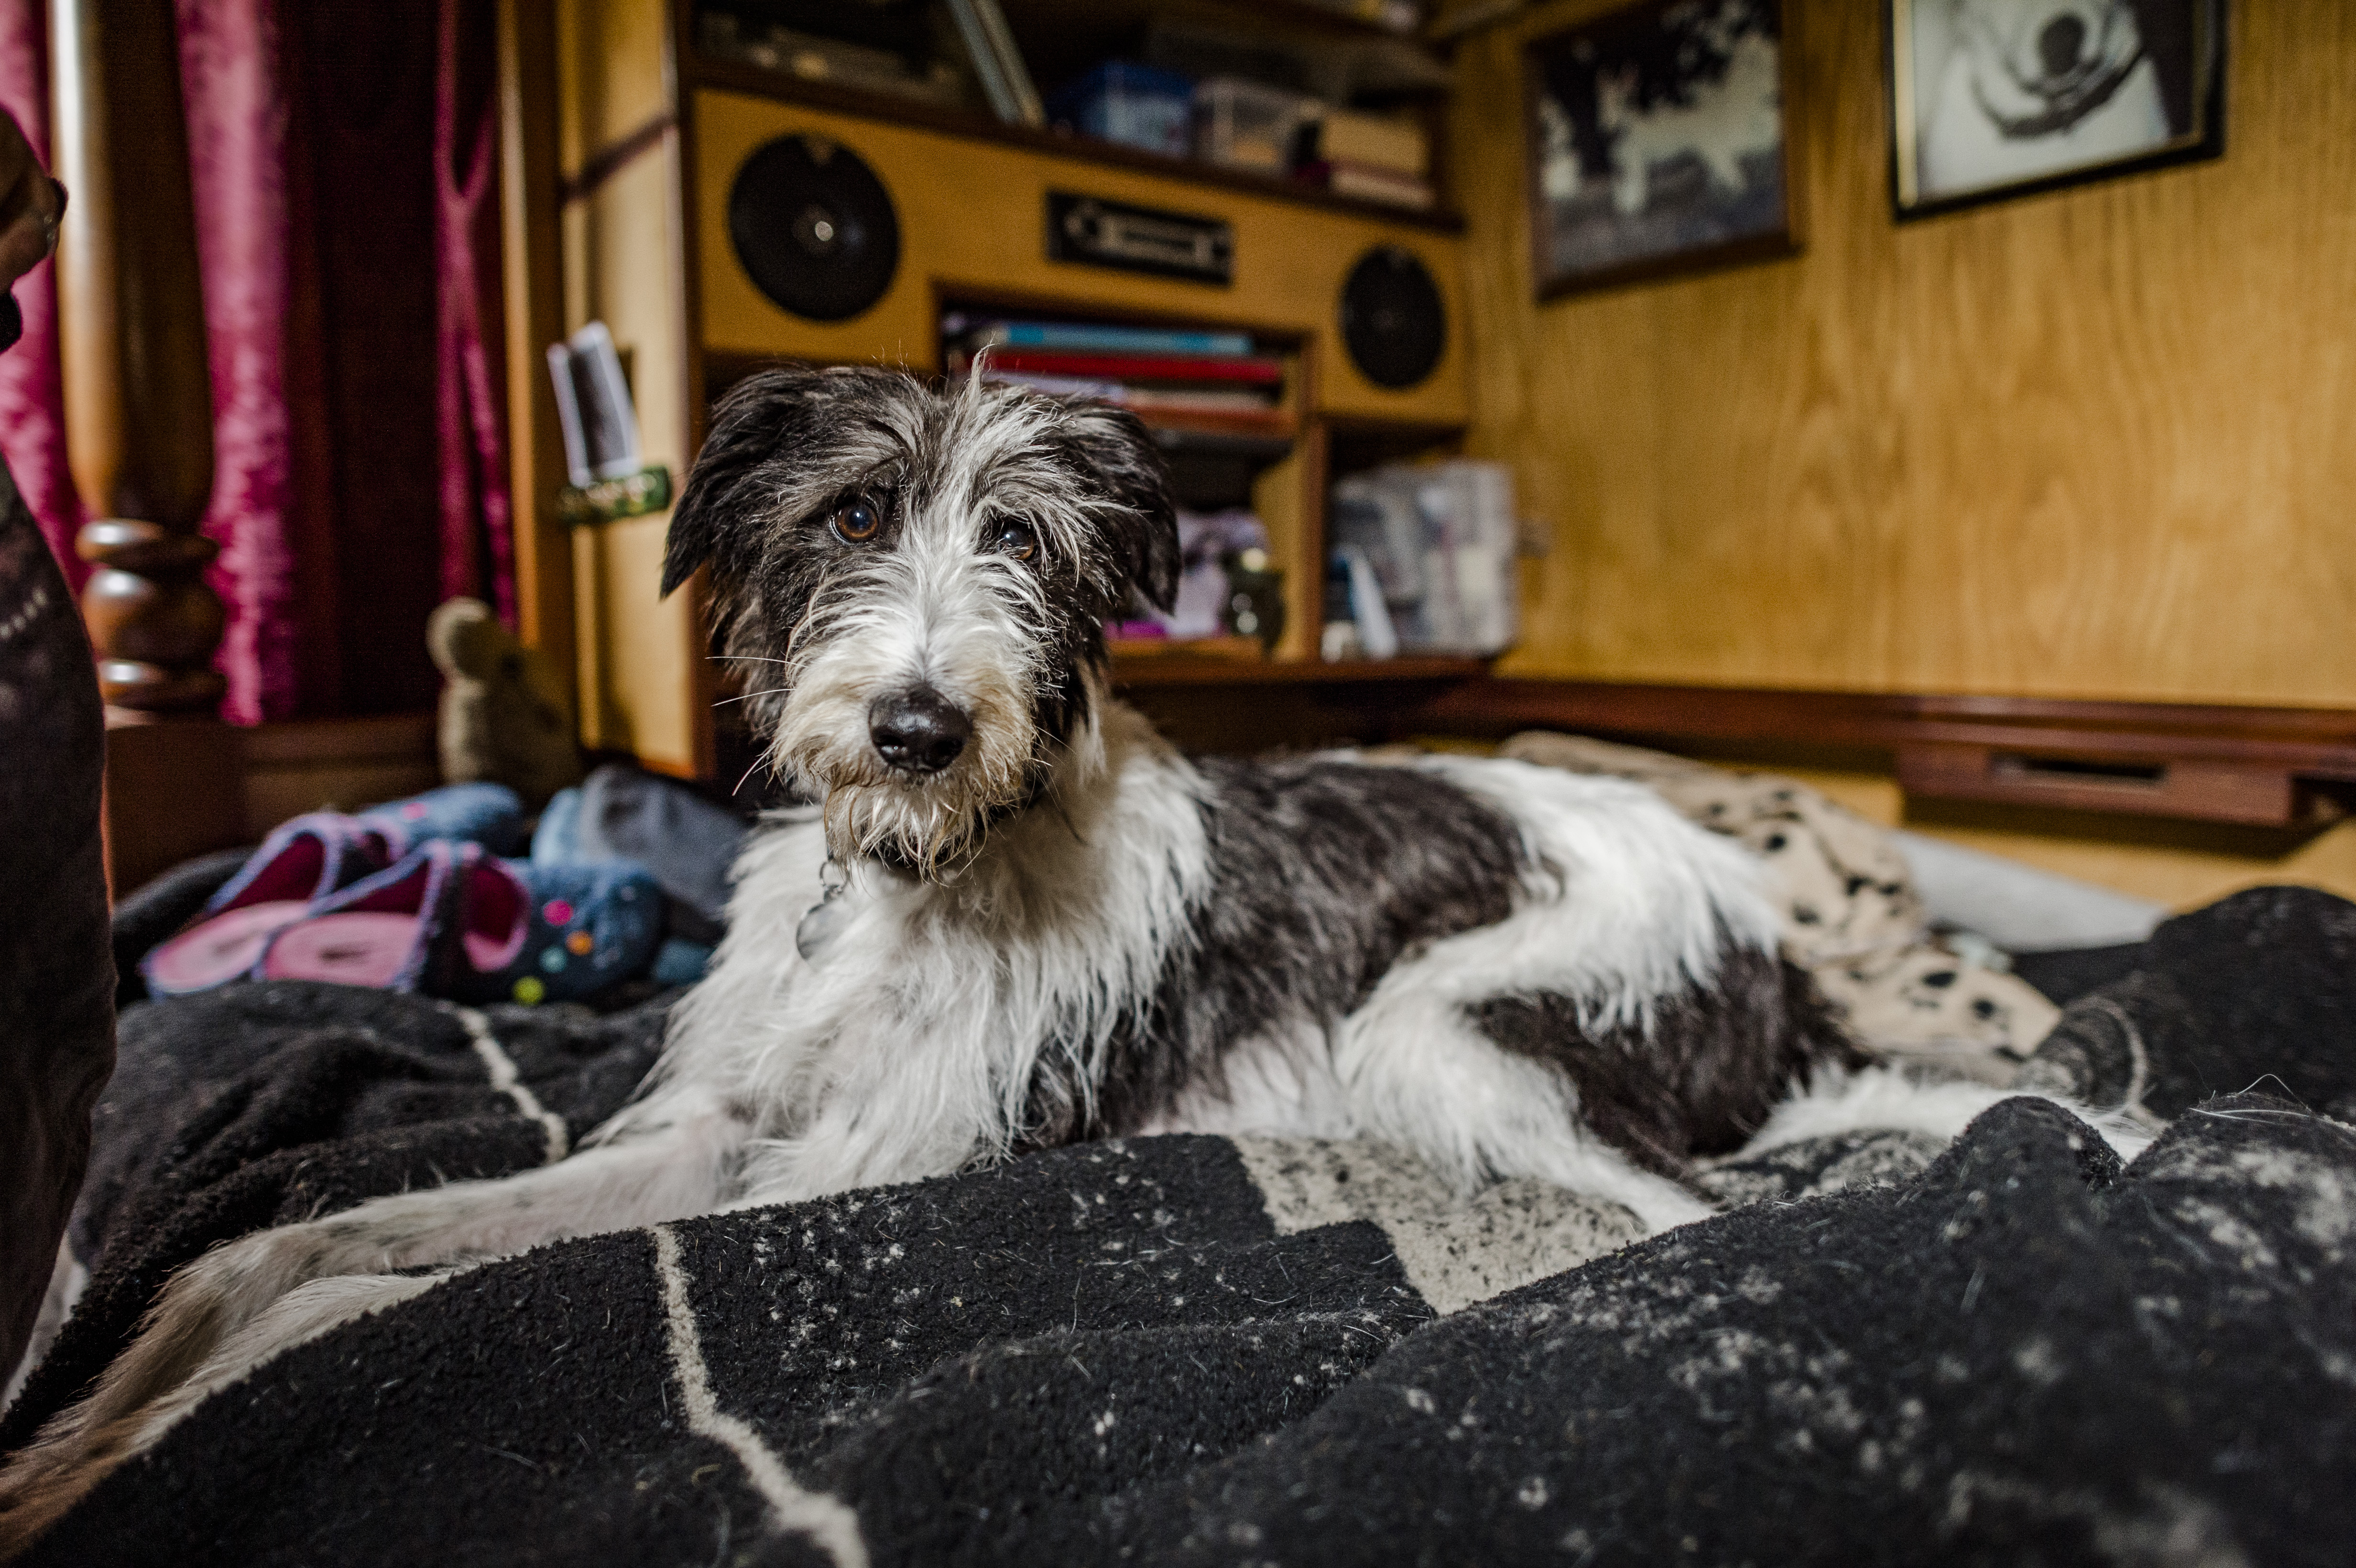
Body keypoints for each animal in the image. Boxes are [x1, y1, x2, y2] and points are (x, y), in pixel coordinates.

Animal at [0, 370, 2139, 1554]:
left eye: (1024, 539)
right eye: (854, 513)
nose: (915, 728)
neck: (904, 879)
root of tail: (1774, 957)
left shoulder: (860, 1170)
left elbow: (425, 1299)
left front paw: (136, 1434)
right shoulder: (709, 1139)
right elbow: (307, 1248)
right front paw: (98, 1416)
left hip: (1438, 1031)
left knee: (1694, 1221)